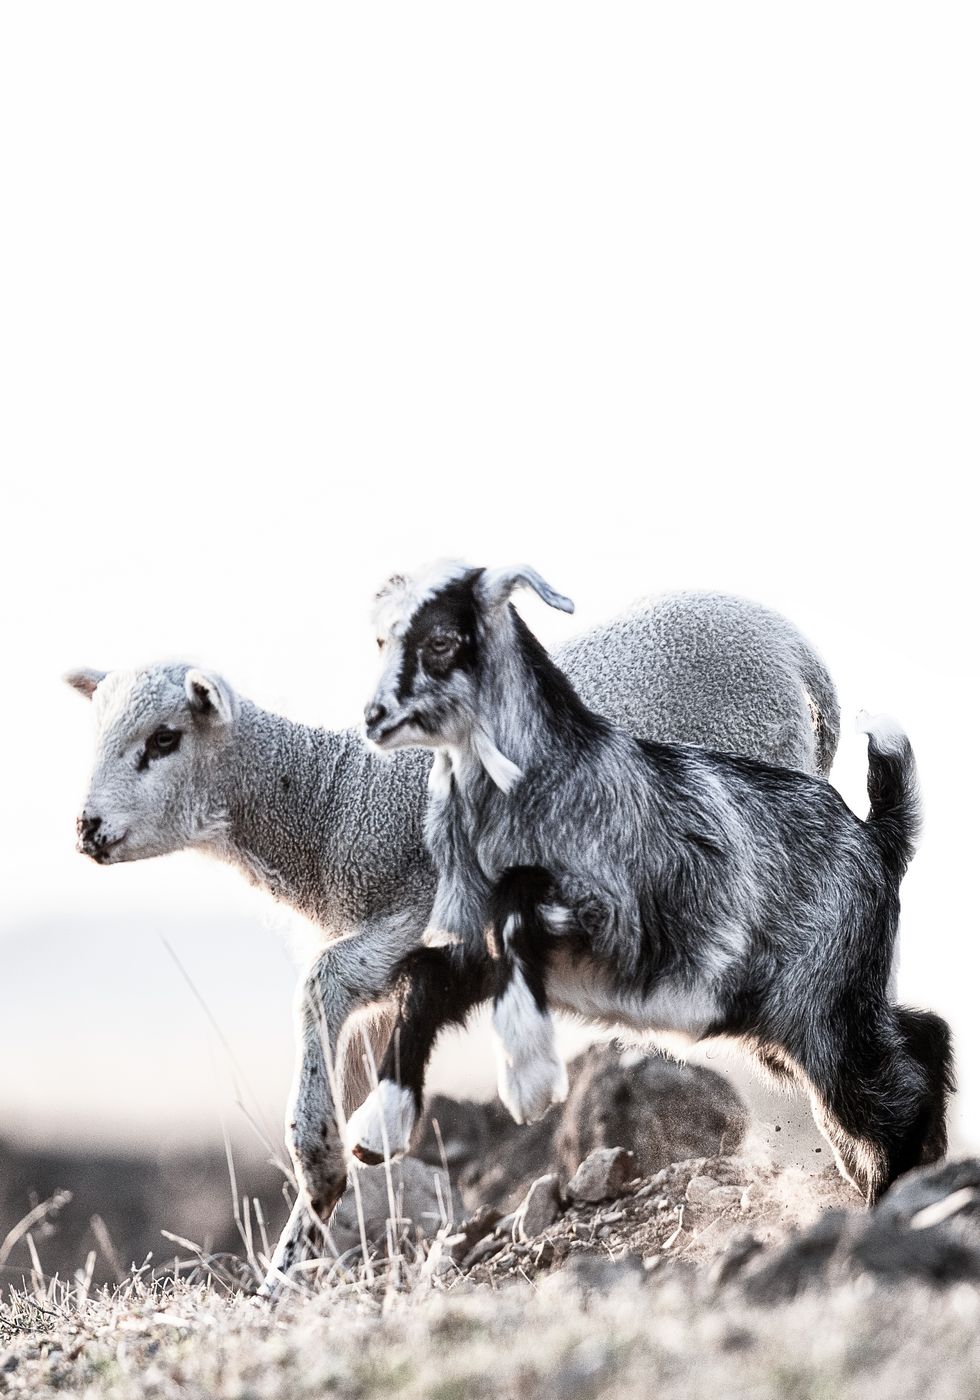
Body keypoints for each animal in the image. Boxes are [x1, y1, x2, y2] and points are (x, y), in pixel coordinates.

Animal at [65, 588, 840, 1281]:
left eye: (164, 739)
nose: (86, 830)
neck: (332, 805)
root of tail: (795, 647)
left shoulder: (416, 912)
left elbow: (321, 987)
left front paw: (319, 1176)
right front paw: (292, 1260)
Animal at [351, 562, 953, 1205]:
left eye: (442, 641)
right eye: (382, 638)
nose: (373, 719)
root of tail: (878, 834)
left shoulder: (612, 919)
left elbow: (507, 919)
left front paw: (528, 1077)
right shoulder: (471, 943)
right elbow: (425, 980)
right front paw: (376, 1129)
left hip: (822, 1012)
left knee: (888, 1088)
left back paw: (894, 1189)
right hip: (803, 1014)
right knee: (919, 1036)